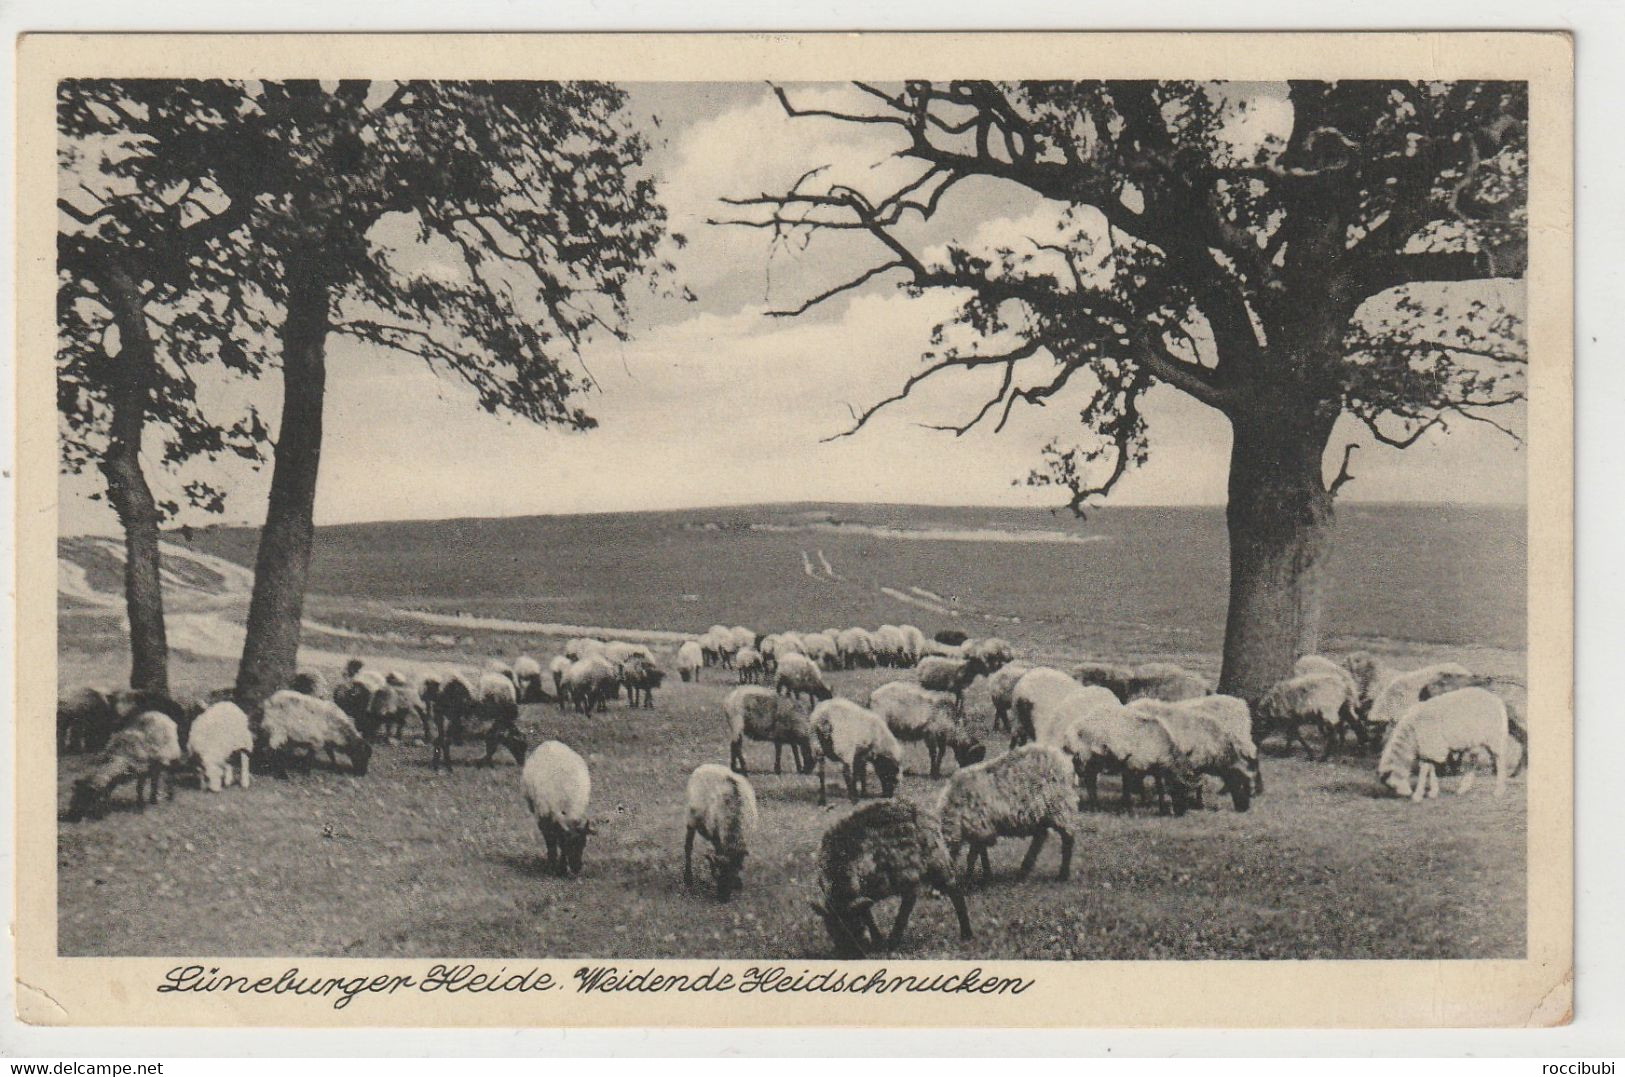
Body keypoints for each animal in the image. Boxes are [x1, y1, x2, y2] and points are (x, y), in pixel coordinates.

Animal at [520, 740, 591, 877]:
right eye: (570, 846)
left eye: (584, 844)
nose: (577, 869)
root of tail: (550, 742)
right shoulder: (545, 816)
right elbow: (552, 841)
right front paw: (553, 866)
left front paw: (561, 868)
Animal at [685, 766, 760, 903]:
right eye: (719, 874)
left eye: (733, 873)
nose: (723, 899)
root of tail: (705, 765)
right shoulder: (717, 835)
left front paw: (739, 883)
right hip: (691, 818)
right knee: (688, 847)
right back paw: (688, 878)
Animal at [809, 795, 968, 955]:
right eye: (831, 929)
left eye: (854, 925)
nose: (849, 953)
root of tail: (926, 813)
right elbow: (868, 915)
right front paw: (878, 942)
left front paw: (885, 944)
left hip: (936, 862)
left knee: (955, 892)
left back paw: (966, 935)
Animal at [936, 747, 1085, 890]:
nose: (939, 890)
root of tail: (1065, 758)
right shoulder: (981, 830)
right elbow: (981, 853)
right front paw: (986, 876)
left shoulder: (980, 827)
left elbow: (972, 856)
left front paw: (970, 880)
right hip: (1042, 815)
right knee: (1040, 837)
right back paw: (1023, 872)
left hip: (1060, 807)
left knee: (1067, 839)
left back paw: (1062, 875)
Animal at [1378, 692, 1514, 799]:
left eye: (1391, 785)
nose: (1405, 794)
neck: (1411, 735)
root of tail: (1497, 701)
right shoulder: (1430, 749)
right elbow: (1431, 768)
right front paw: (1432, 792)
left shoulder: (1431, 745)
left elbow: (1424, 769)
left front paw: (1418, 795)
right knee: (1474, 761)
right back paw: (1463, 788)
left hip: (1494, 737)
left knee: (1500, 760)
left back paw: (1499, 791)